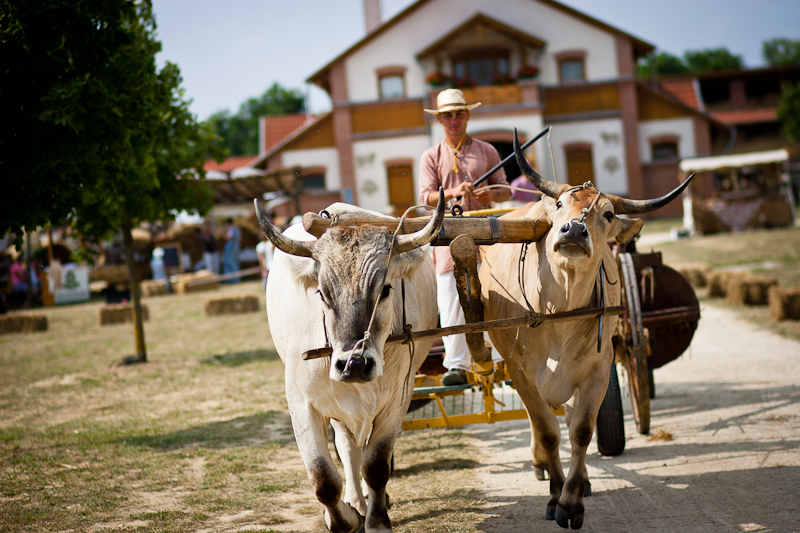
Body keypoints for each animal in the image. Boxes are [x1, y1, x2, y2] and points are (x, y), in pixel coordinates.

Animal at [255, 191, 444, 533]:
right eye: (321, 293)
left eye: (385, 289)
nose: (354, 364)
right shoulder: (301, 402)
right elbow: (323, 477)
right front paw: (345, 518)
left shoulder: (398, 399)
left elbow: (376, 466)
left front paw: (377, 520)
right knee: (346, 448)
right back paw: (356, 500)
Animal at [478, 131, 692, 530]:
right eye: (561, 203)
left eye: (607, 213)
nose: (575, 229)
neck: (559, 310)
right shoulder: (521, 373)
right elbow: (547, 431)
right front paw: (554, 495)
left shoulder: (597, 368)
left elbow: (580, 429)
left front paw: (572, 500)